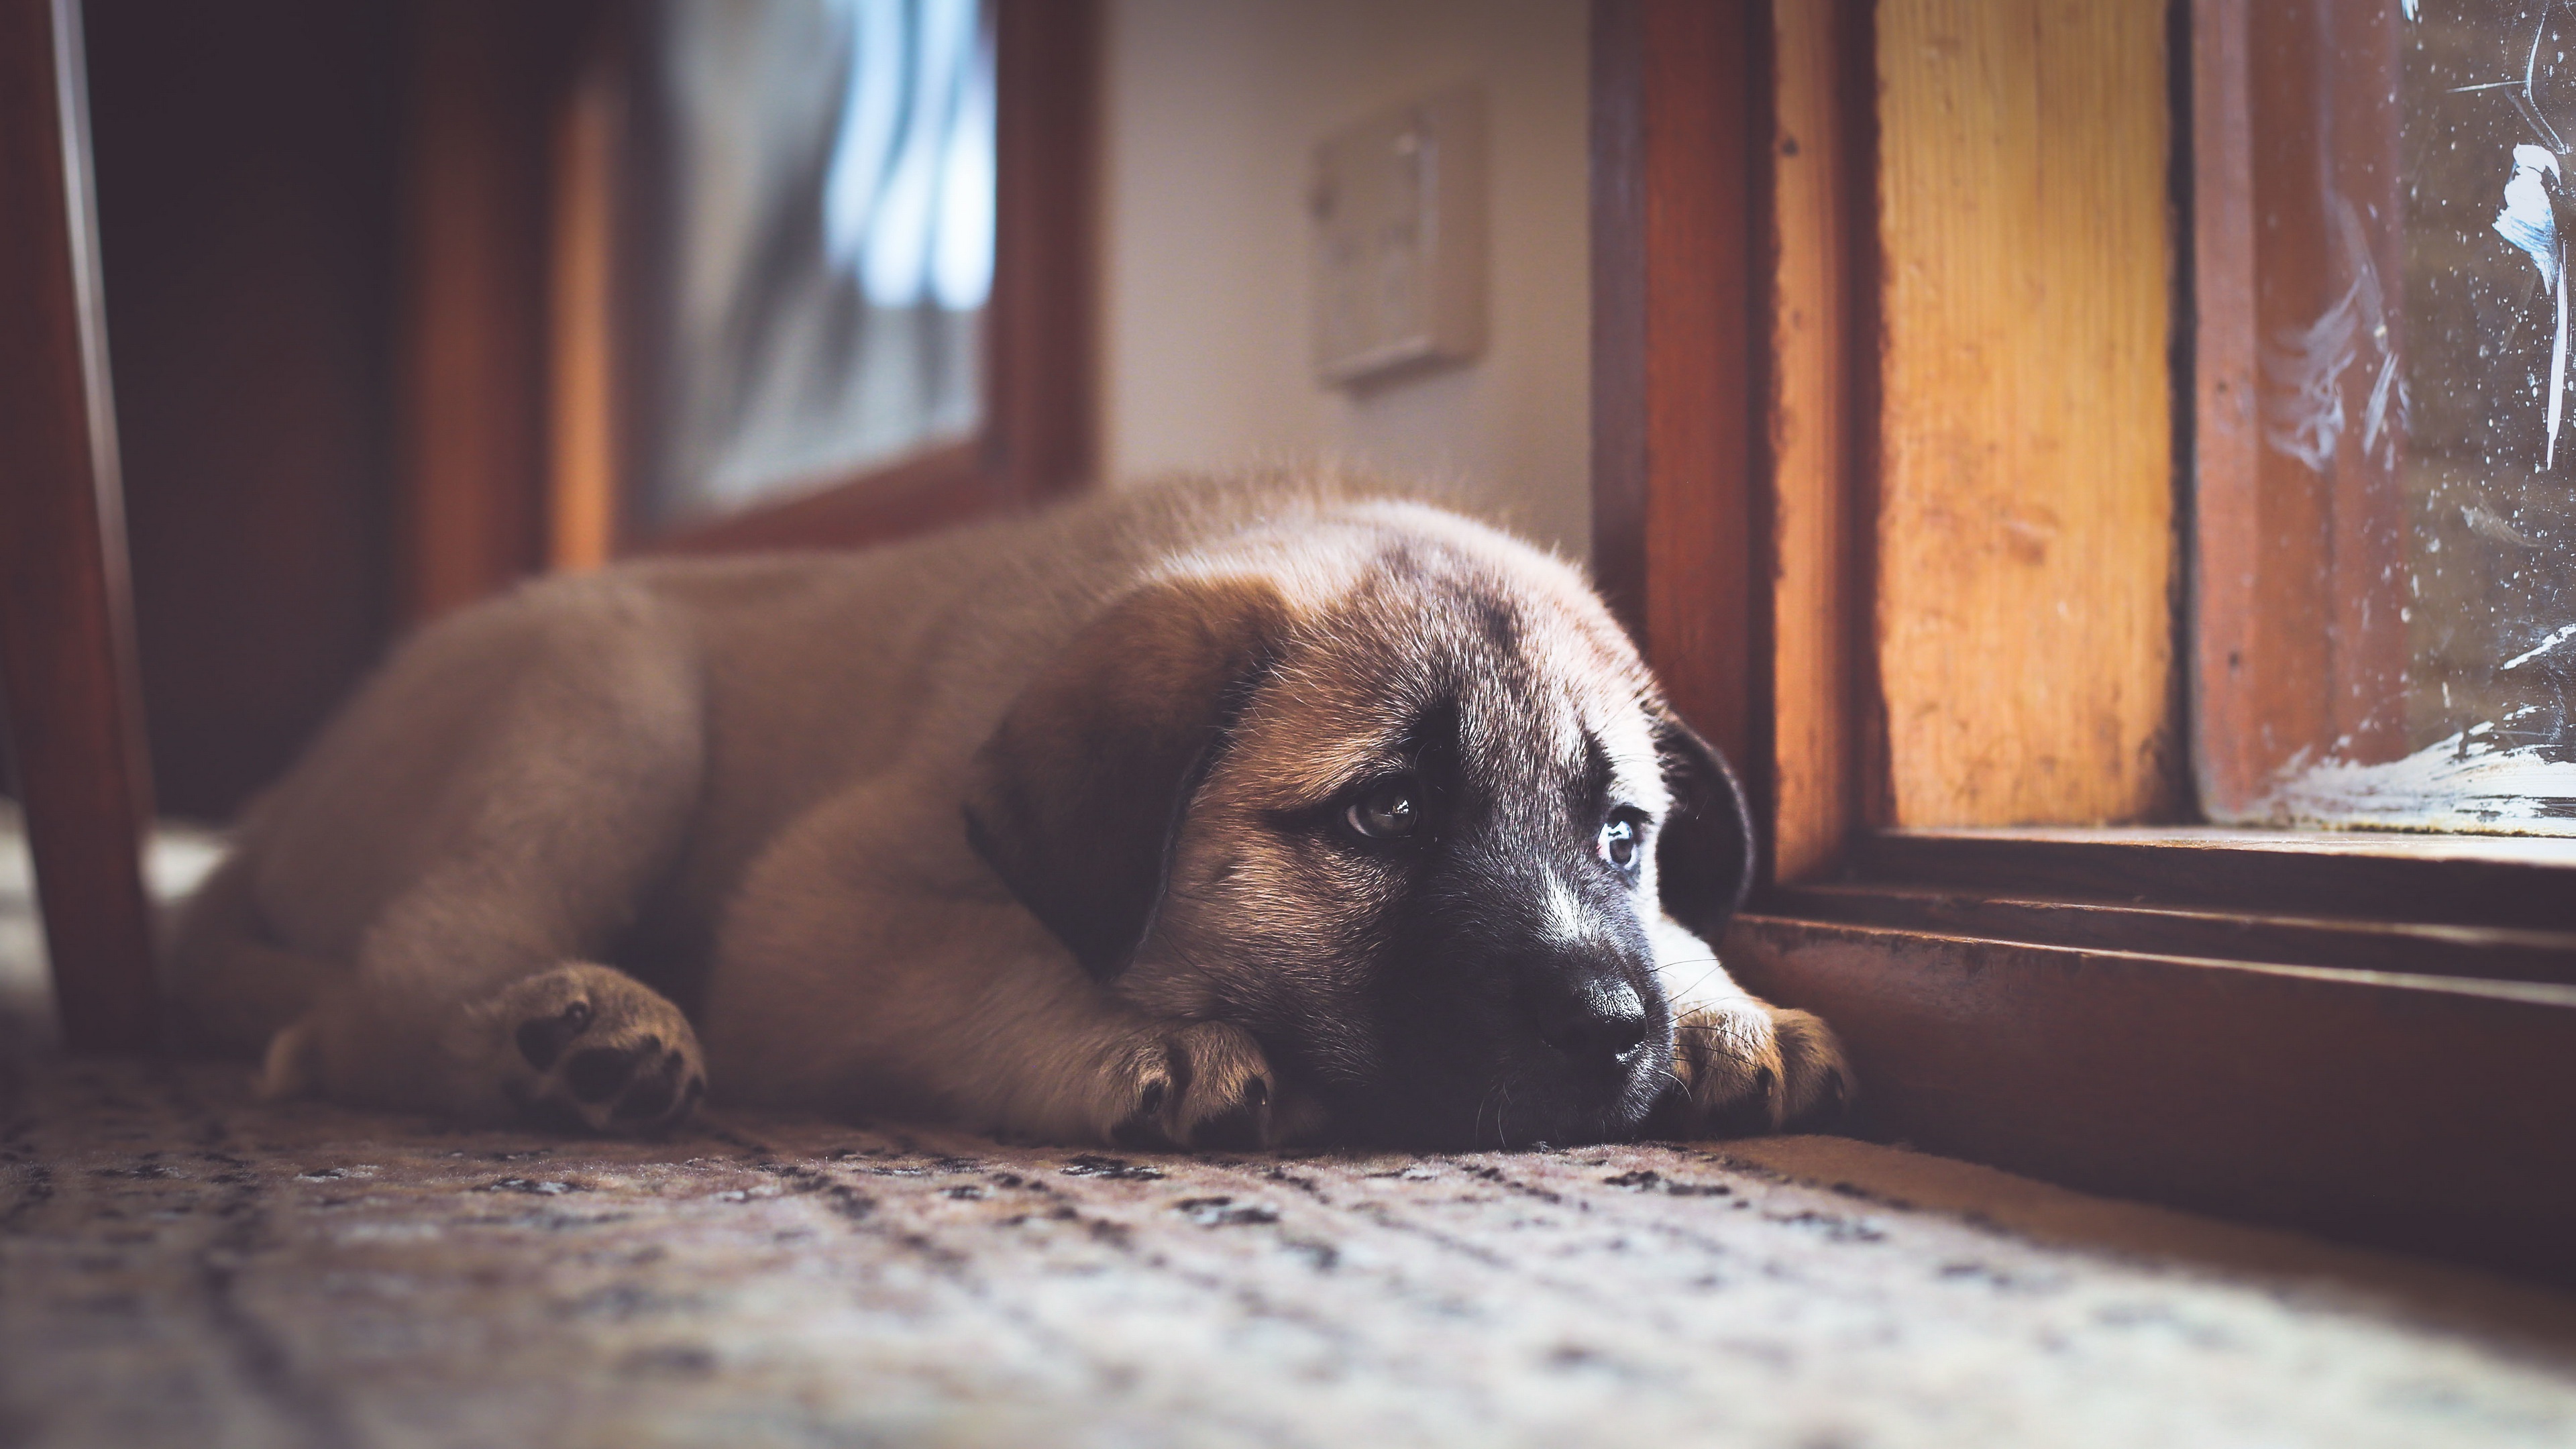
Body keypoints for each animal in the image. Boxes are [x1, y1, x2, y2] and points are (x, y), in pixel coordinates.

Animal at [166, 472, 1854, 1139]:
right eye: (1385, 814)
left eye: (1621, 837)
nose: (1609, 1031)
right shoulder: (809, 909)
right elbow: (986, 956)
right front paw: (1138, 1038)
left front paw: (1717, 1002)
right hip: (613, 686)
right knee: (381, 991)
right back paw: (572, 1032)